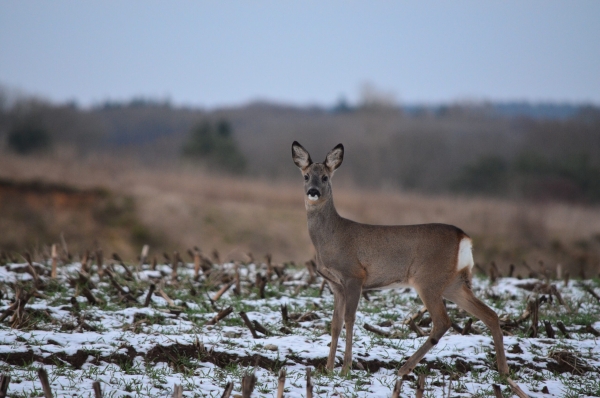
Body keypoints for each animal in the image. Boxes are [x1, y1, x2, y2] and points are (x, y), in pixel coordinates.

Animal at [292, 140, 524, 392]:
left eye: (325, 177)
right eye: (306, 176)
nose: (313, 191)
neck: (331, 237)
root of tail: (464, 238)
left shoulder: (354, 275)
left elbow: (349, 319)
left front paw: (345, 369)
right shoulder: (335, 284)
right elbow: (334, 323)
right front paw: (327, 368)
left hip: (427, 279)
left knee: (443, 321)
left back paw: (404, 369)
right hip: (453, 283)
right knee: (490, 314)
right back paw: (504, 372)